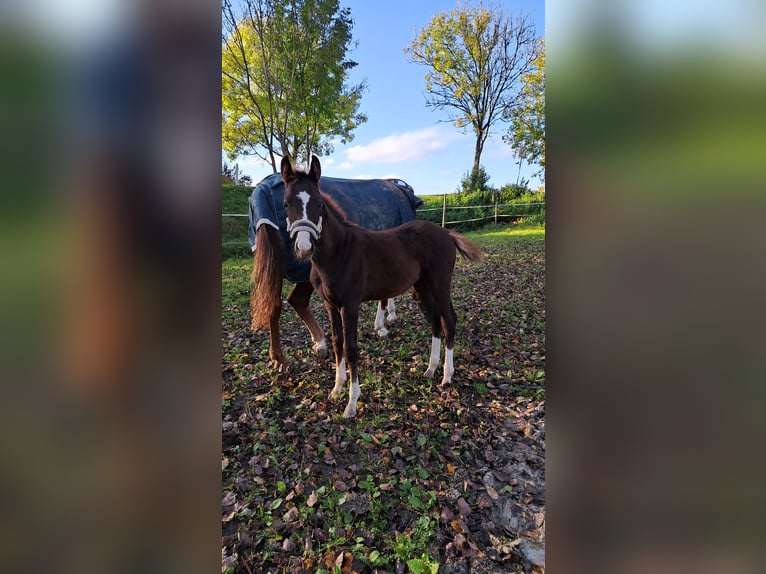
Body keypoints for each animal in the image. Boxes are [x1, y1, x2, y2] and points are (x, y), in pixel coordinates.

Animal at [282, 156, 486, 418]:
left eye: (318, 203)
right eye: (286, 204)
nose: (304, 247)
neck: (338, 253)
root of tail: (447, 233)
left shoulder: (350, 305)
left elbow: (351, 348)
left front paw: (351, 403)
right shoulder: (330, 305)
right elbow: (337, 343)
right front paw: (336, 390)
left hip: (440, 285)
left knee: (448, 321)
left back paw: (447, 376)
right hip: (422, 289)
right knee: (435, 322)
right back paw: (430, 370)